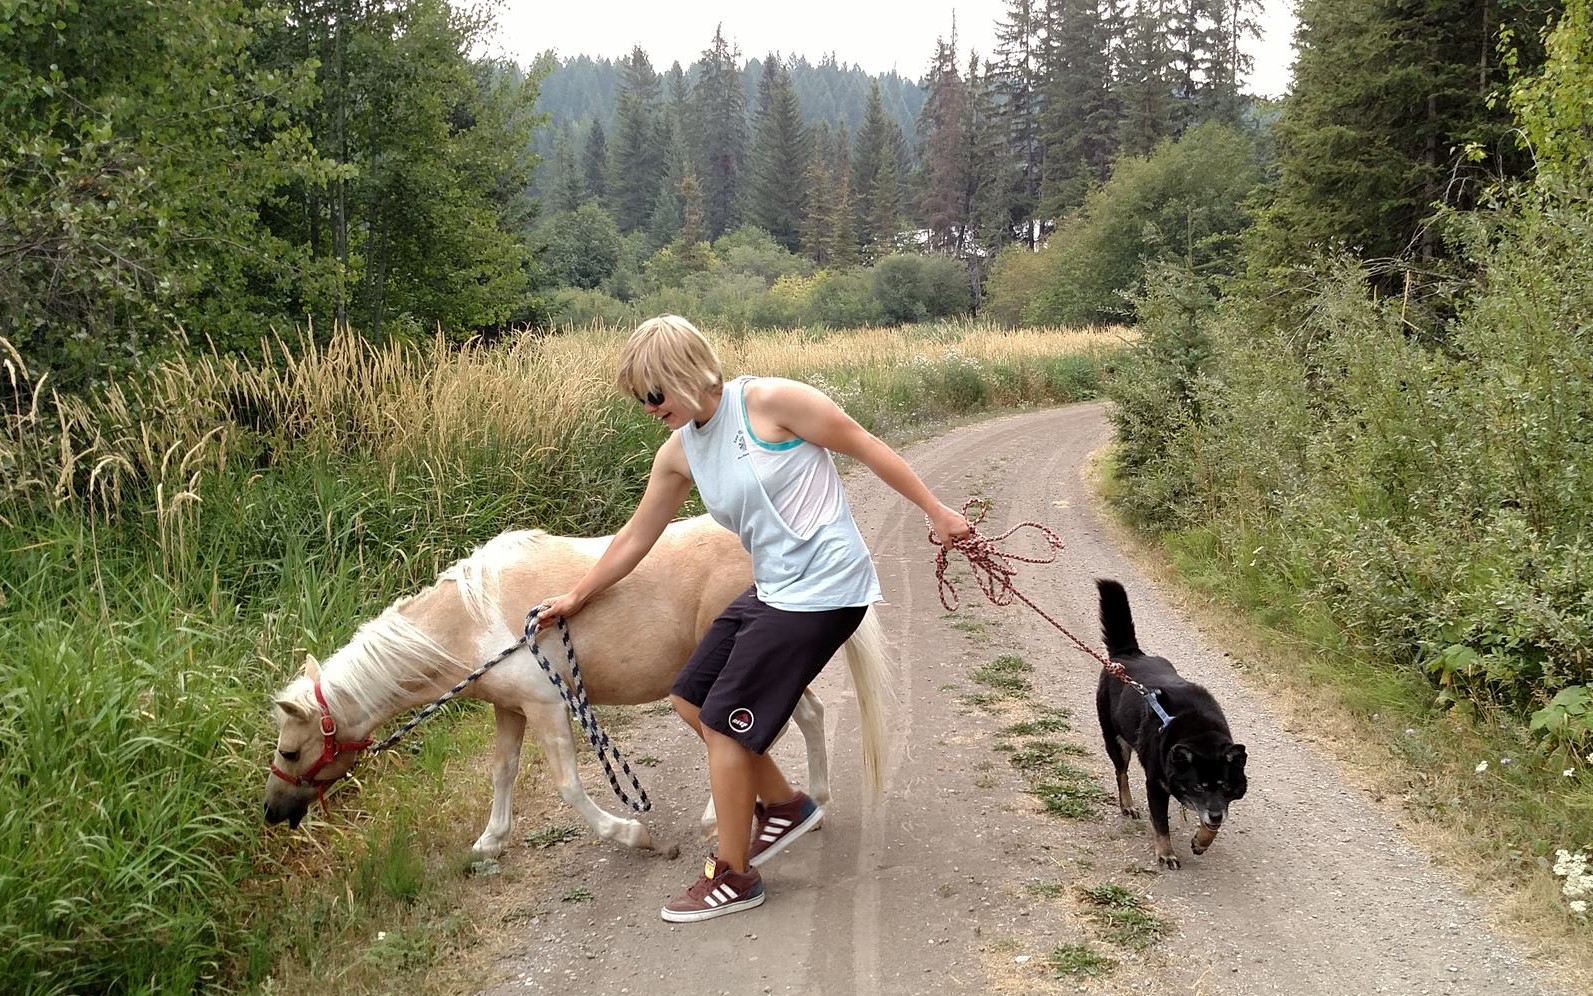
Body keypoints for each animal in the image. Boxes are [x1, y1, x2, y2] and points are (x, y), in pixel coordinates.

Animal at [258, 513, 885, 854]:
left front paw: (630, 834)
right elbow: (503, 772)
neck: (472, 622)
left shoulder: (546, 707)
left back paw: (724, 814)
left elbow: (567, 786)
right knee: (808, 715)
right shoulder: (509, 710)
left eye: (289, 750)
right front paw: (491, 840)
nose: (272, 813)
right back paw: (814, 800)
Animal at [1095, 580, 1242, 866]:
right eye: (1198, 786)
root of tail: (1128, 655)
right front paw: (1166, 853)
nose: (1216, 815)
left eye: (1226, 786)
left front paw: (1201, 842)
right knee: (1121, 773)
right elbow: (1161, 823)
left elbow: (1209, 827)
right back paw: (1127, 804)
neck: (1199, 731)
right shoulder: (1156, 786)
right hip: (1116, 740)